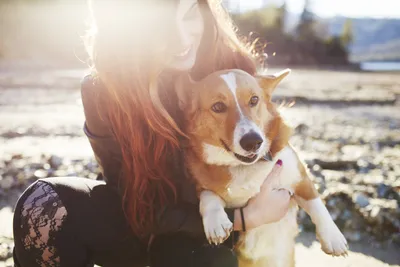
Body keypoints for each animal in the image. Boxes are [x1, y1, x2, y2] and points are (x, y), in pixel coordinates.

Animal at [175, 69, 346, 267]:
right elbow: (208, 197)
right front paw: (216, 222)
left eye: (254, 100)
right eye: (218, 106)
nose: (253, 141)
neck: (243, 166)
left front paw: (333, 238)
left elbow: (317, 204)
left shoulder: (300, 178)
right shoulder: (200, 186)